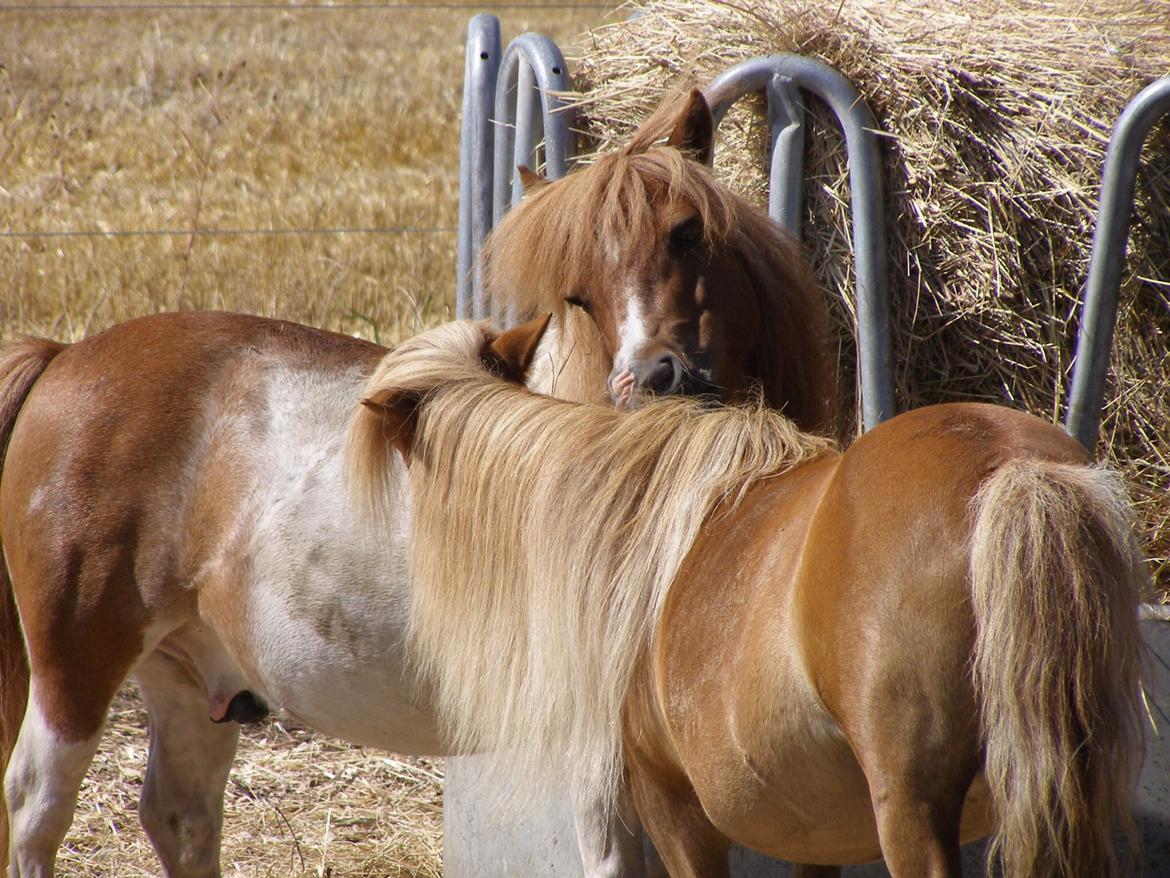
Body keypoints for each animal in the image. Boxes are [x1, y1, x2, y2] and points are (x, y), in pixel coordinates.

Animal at [0, 93, 833, 875]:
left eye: (687, 232)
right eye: (578, 294)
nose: (657, 380)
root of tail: (65, 356)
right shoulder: (604, 755)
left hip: (187, 677)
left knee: (179, 817)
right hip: (74, 670)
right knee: (36, 808)